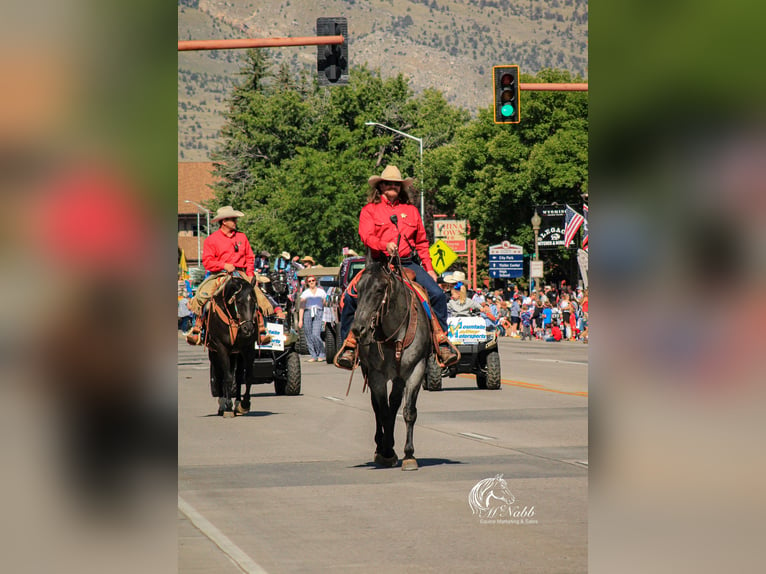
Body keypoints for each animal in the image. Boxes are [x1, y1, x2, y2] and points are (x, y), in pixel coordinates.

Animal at [206, 276, 260, 418]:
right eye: (239, 302)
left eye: (254, 301)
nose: (248, 329)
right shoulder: (221, 348)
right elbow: (228, 378)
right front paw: (228, 407)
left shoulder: (247, 348)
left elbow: (248, 377)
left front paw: (244, 404)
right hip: (213, 353)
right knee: (220, 376)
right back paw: (222, 405)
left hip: (236, 354)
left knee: (239, 376)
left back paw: (237, 404)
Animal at [352, 260, 436, 472]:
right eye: (358, 288)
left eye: (380, 289)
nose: (358, 329)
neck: (395, 333)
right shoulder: (376, 375)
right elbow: (382, 412)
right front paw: (387, 452)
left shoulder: (415, 370)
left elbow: (408, 412)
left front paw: (409, 455)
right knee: (377, 408)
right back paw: (380, 446)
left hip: (399, 377)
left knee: (395, 403)